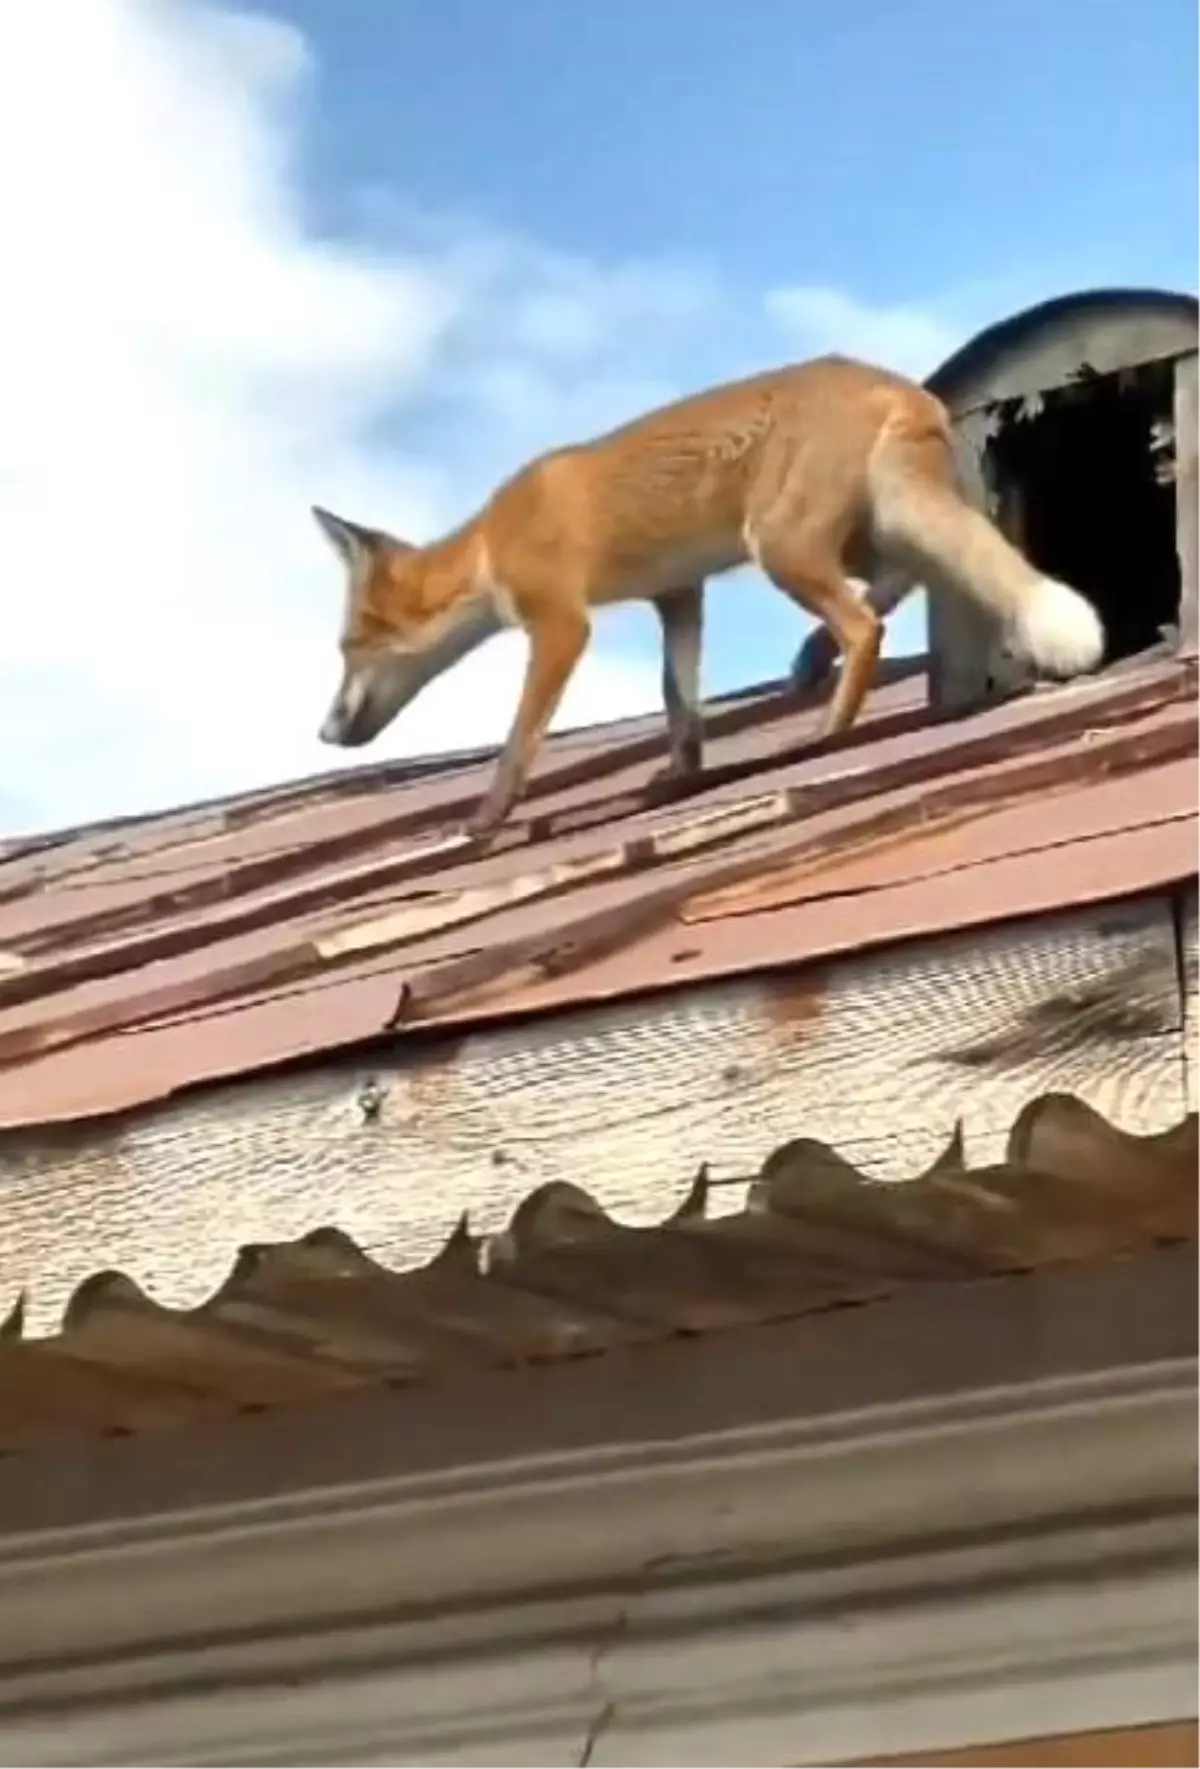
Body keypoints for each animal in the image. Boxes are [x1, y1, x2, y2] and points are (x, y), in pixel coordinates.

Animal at [316, 355, 1111, 838]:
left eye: (348, 649)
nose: (325, 731)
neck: (489, 544)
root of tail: (894, 381)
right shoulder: (677, 595)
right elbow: (681, 701)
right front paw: (681, 774)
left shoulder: (562, 623)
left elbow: (519, 740)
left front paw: (488, 816)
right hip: (863, 534)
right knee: (908, 578)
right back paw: (813, 664)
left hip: (784, 548)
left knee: (865, 625)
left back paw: (826, 730)